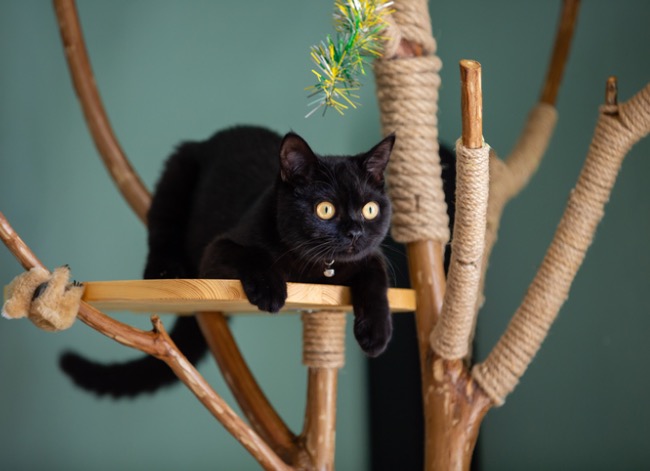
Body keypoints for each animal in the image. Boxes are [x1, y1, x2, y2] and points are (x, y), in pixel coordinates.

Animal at [62, 126, 394, 398]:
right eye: (325, 209)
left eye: (370, 209)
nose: (355, 232)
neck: (317, 270)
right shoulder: (216, 250)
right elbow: (253, 253)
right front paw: (271, 290)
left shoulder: (370, 256)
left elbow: (377, 278)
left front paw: (377, 332)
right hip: (177, 172)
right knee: (161, 232)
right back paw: (165, 271)